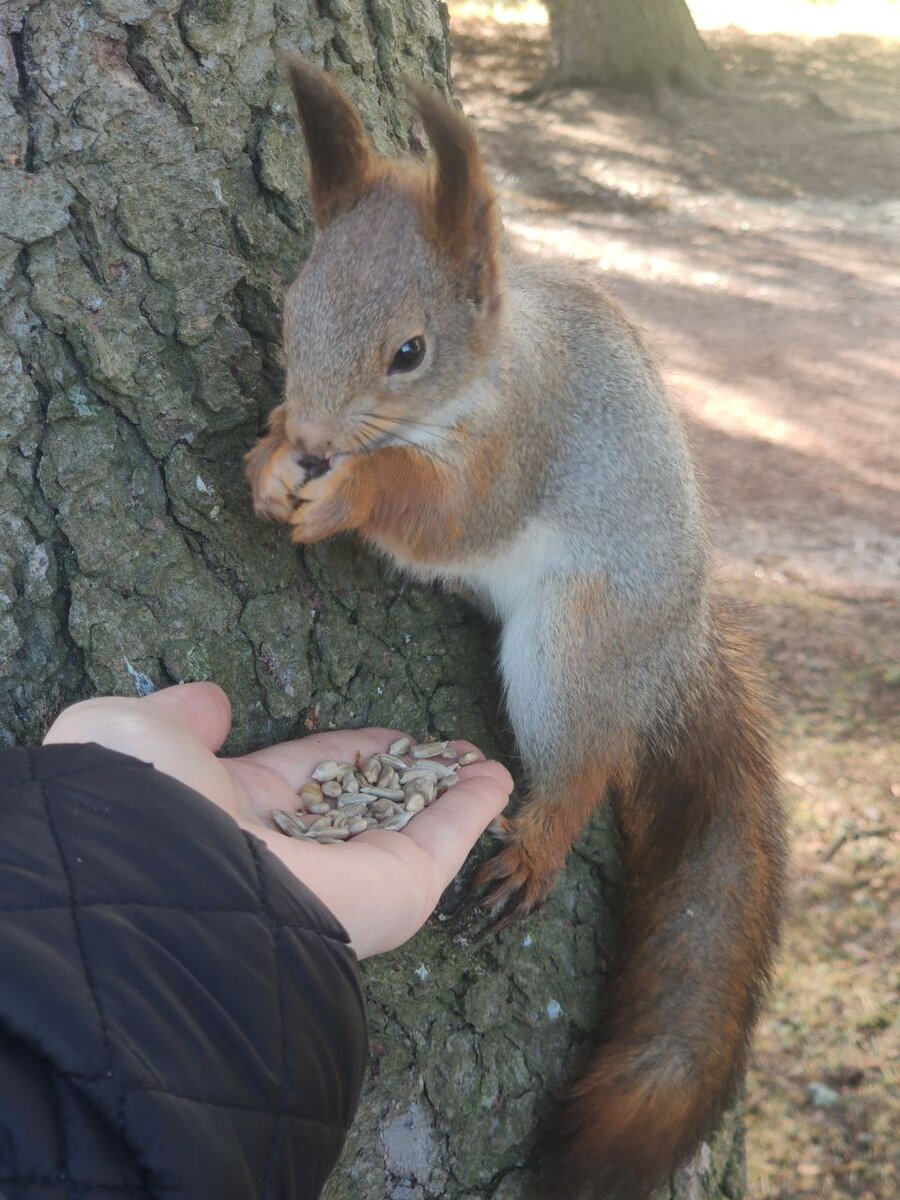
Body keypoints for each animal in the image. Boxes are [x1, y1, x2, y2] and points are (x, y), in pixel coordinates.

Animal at [243, 60, 787, 1200]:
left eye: (409, 351)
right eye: (292, 307)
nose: (311, 435)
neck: (479, 382)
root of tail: (676, 649)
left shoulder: (517, 452)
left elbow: (440, 510)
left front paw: (349, 488)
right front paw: (271, 461)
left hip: (579, 643)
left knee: (590, 759)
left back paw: (535, 843)